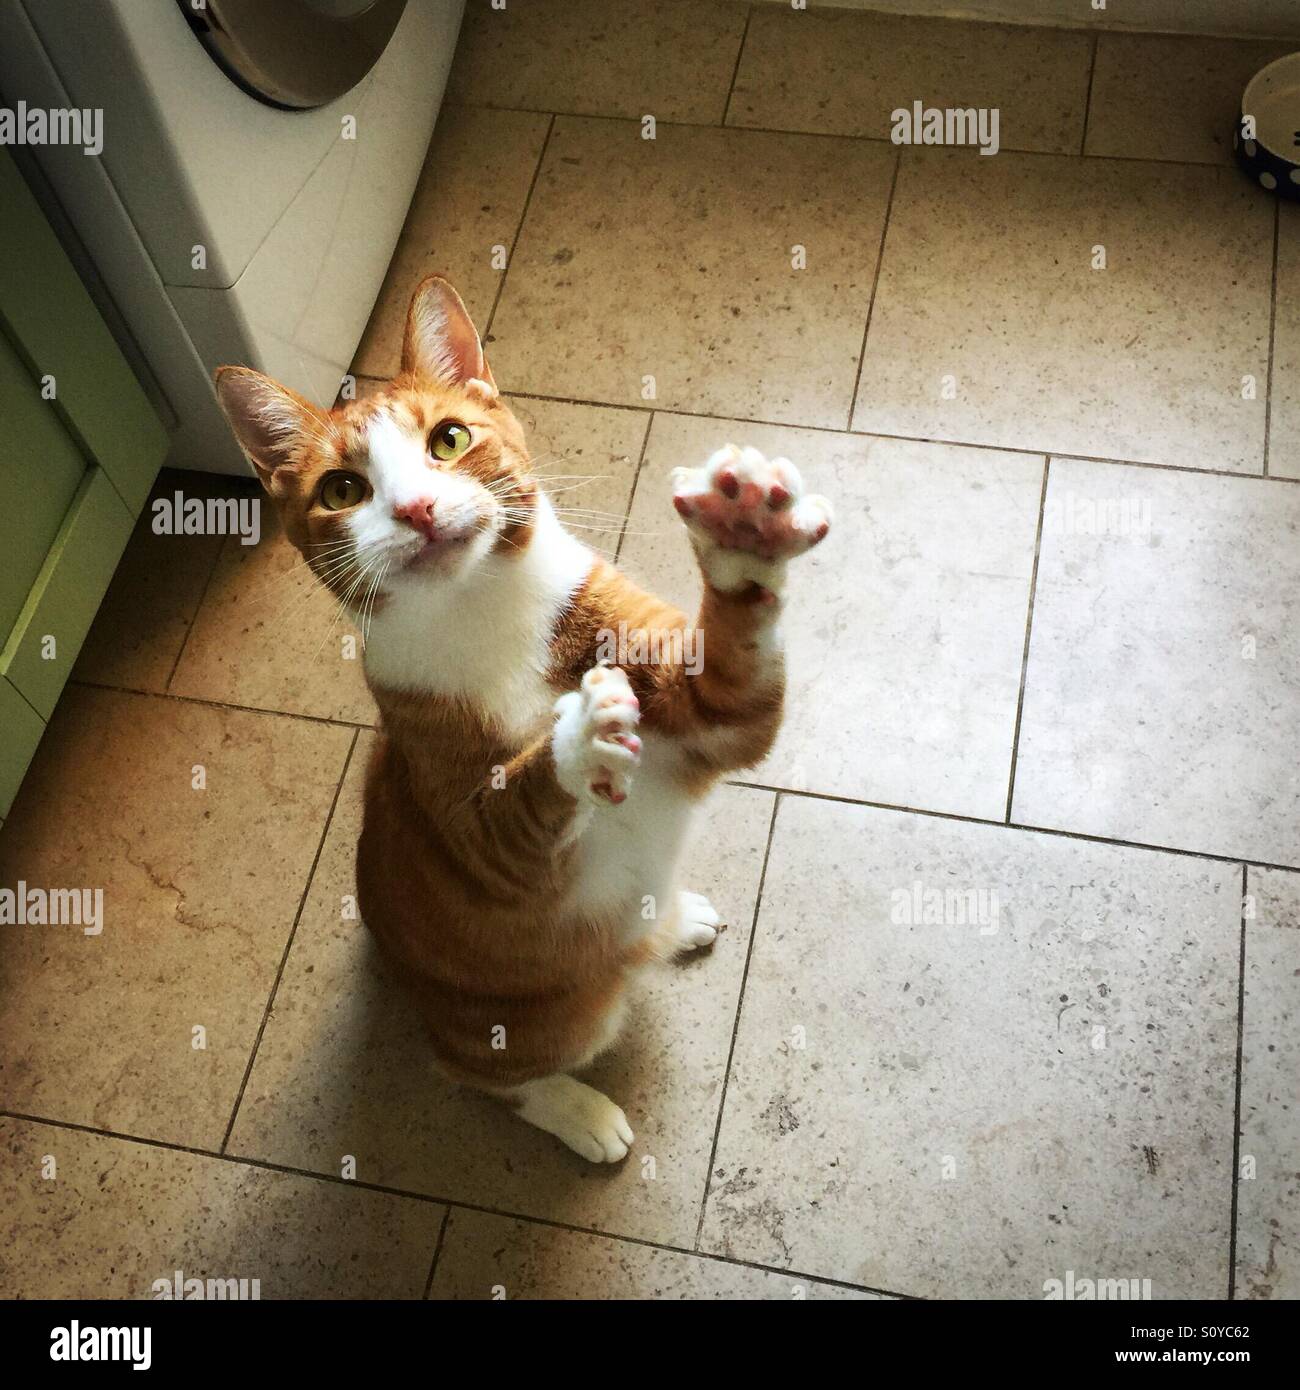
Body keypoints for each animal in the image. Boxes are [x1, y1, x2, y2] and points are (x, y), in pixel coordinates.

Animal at [215, 273, 834, 1162]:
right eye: (343, 490)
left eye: (447, 440)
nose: (417, 509)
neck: (484, 612)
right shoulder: (479, 849)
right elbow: (518, 804)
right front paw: (577, 738)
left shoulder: (714, 718)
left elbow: (738, 671)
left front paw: (745, 533)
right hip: (553, 1022)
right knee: (476, 1075)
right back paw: (579, 1112)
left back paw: (674, 918)